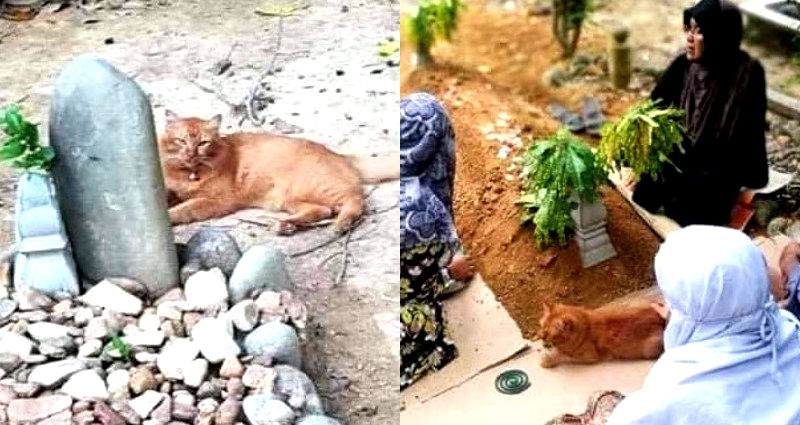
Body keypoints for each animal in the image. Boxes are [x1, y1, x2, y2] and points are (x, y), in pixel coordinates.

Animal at [159, 111, 400, 234]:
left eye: (202, 143)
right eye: (181, 141)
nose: (190, 153)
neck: (188, 174)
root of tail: (340, 155)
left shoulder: (217, 200)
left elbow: (186, 208)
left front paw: (170, 216)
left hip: (313, 186)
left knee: (355, 201)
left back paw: (342, 224)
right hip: (290, 198)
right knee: (321, 210)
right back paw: (287, 225)